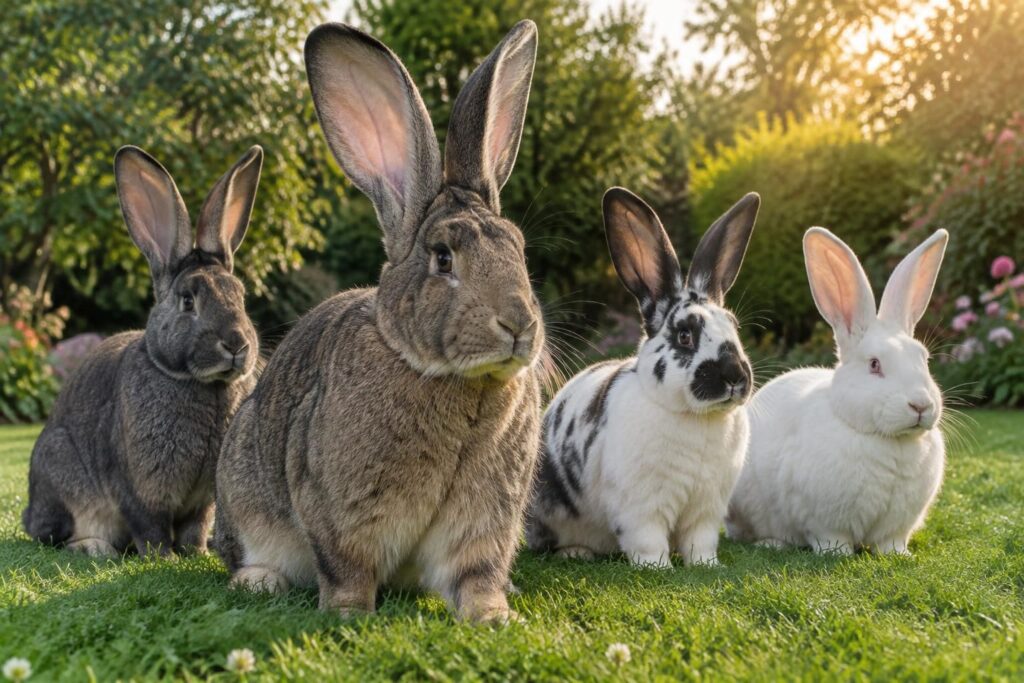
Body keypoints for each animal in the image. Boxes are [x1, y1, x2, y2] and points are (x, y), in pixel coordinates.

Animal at [22, 145, 262, 557]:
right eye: (187, 300)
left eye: (241, 297)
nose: (236, 345)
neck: (201, 384)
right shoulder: (139, 489)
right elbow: (149, 524)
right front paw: (162, 557)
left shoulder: (204, 499)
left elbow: (196, 526)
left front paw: (196, 552)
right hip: (57, 467)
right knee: (54, 535)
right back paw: (92, 547)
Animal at [214, 21, 543, 623]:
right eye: (443, 258)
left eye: (519, 250)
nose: (518, 325)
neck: (454, 380)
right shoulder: (337, 511)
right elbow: (347, 569)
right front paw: (348, 615)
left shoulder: (484, 524)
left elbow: (477, 576)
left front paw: (495, 617)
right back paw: (258, 582)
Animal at [526, 187, 760, 568]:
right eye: (684, 335)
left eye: (734, 327)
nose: (734, 376)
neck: (695, 418)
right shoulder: (641, 507)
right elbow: (647, 539)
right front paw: (658, 568)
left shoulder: (706, 510)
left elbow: (700, 541)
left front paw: (706, 565)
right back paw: (576, 552)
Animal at [726, 227, 949, 555]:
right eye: (874, 364)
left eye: (924, 358)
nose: (920, 405)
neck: (889, 441)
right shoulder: (823, 521)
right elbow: (831, 540)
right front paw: (836, 554)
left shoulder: (896, 528)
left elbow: (891, 543)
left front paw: (901, 556)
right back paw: (772, 543)